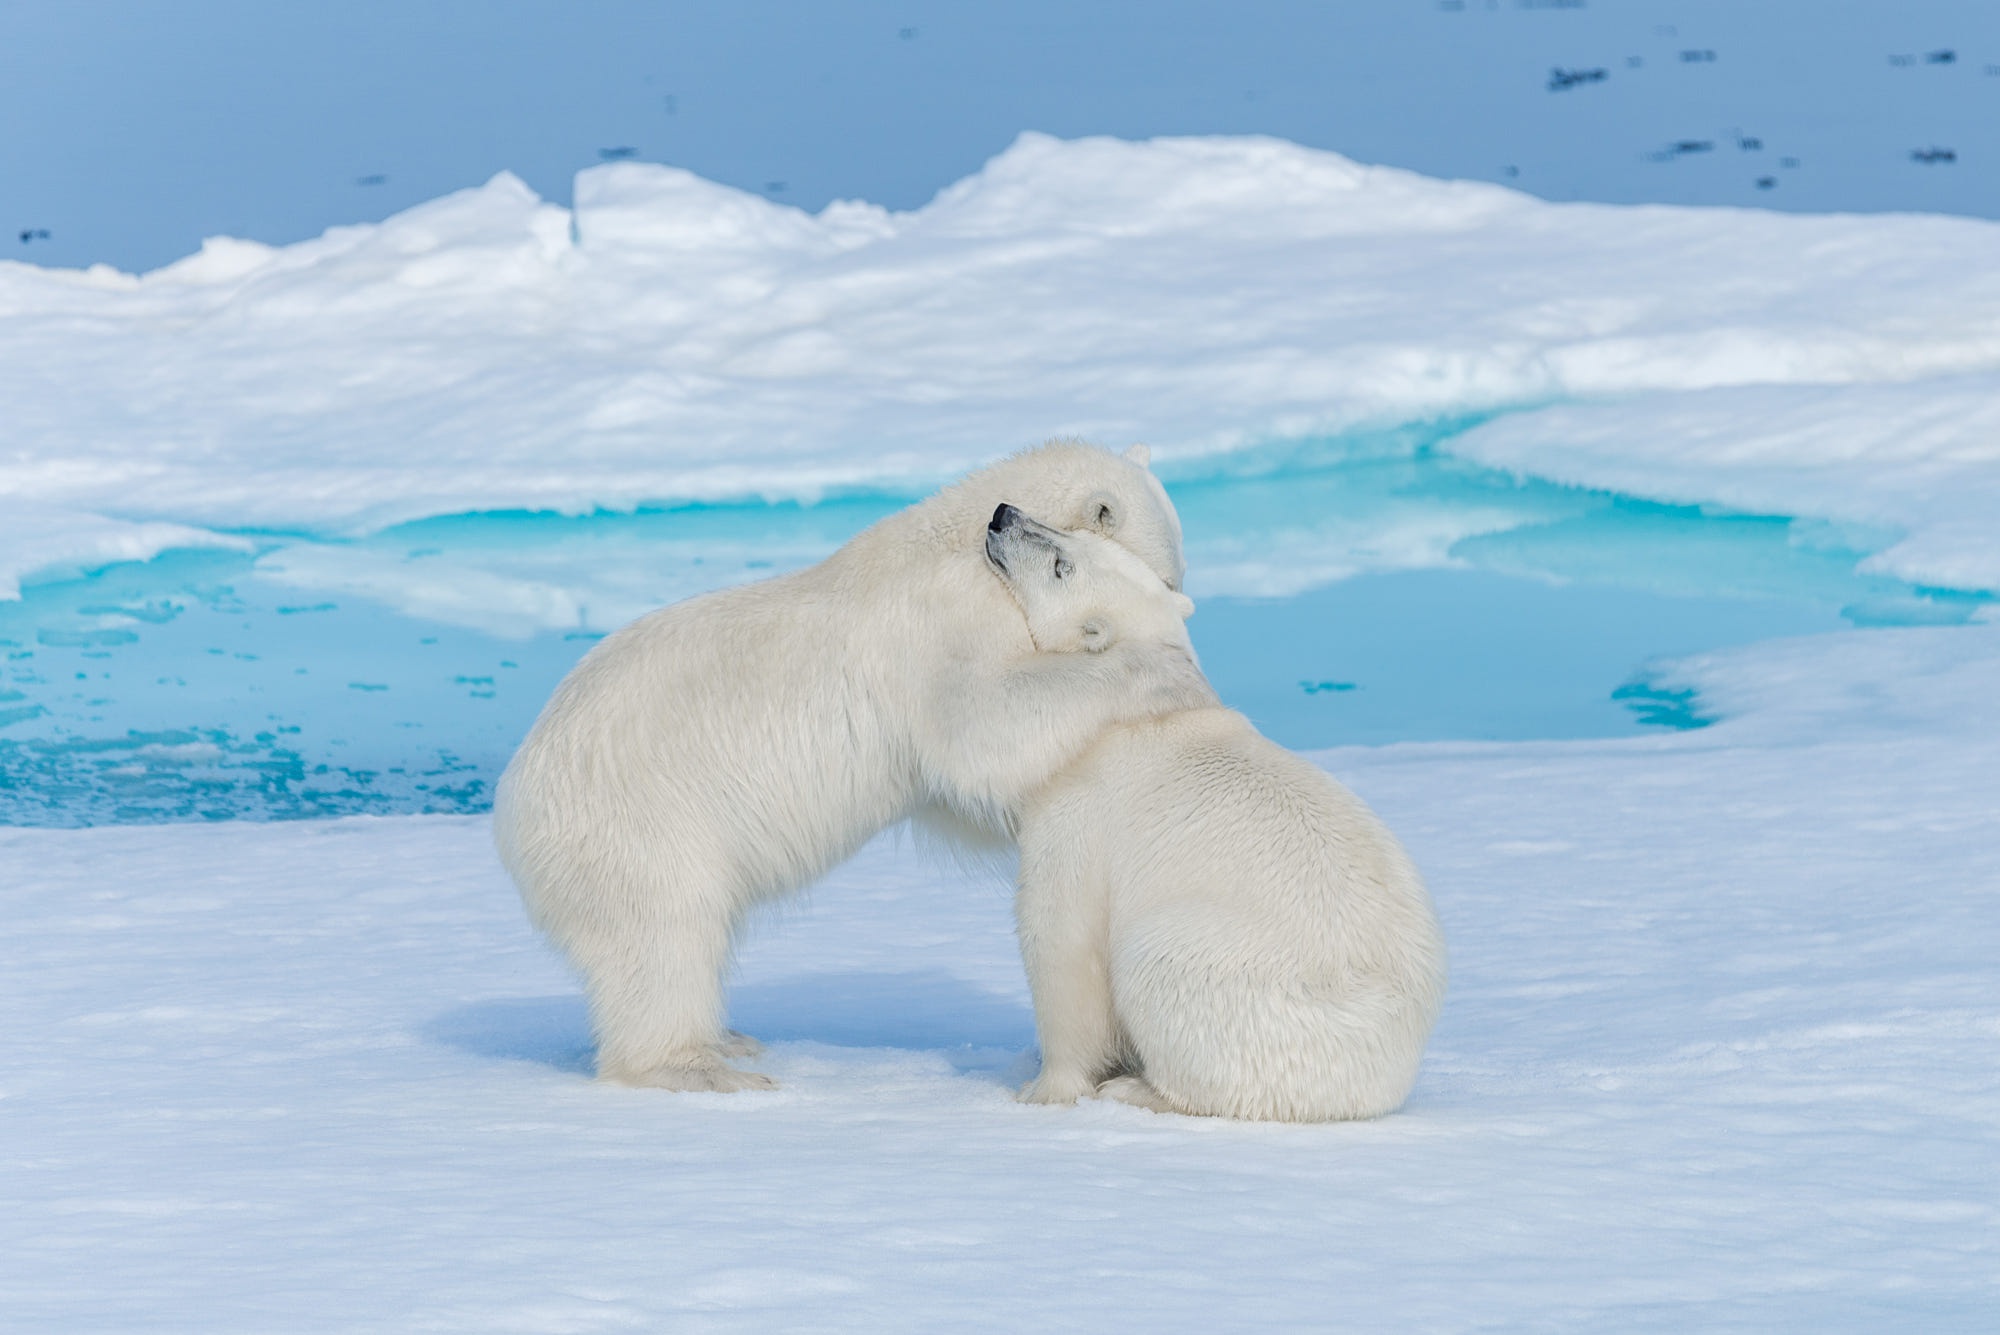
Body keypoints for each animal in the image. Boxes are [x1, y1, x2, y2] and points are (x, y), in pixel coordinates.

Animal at [493, 442, 1213, 1092]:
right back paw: (697, 1066)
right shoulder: (949, 622)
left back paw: (729, 1037)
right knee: (666, 934)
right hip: (639, 827)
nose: (1181, 606)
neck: (962, 542)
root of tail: (509, 811)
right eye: (1170, 576)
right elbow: (982, 726)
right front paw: (1165, 672)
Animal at [984, 504, 1448, 1122]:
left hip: (1226, 967)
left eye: (1063, 566)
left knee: (1156, 967)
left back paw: (1137, 1088)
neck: (1132, 711)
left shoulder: (1082, 806)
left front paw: (1042, 1088)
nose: (1002, 515)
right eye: (1074, 535)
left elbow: (1063, 939)